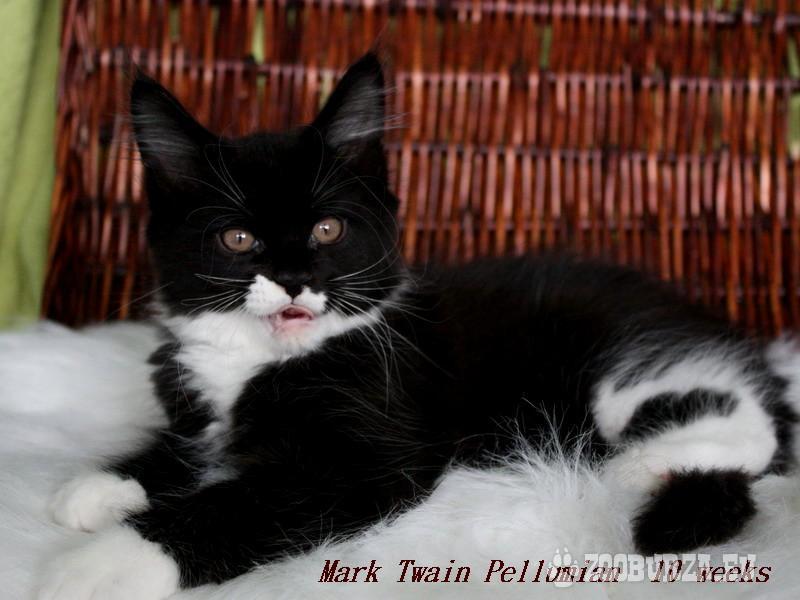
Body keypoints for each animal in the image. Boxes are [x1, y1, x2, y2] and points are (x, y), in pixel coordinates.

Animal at [39, 53, 796, 599]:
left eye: (328, 228)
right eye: (237, 239)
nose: (294, 278)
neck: (261, 359)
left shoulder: (369, 455)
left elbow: (240, 500)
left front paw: (104, 563)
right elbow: (187, 442)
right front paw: (107, 484)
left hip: (633, 364)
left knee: (735, 424)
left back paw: (635, 465)